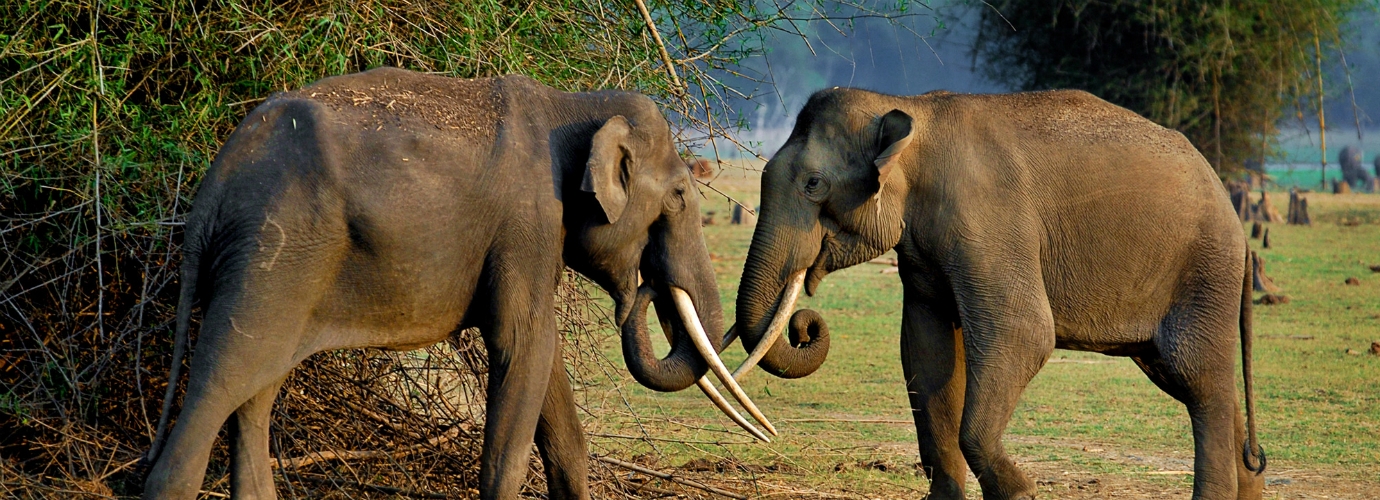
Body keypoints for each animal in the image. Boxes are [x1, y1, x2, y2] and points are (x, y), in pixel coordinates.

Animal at [142, 67, 778, 500]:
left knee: (256, 392)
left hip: (271, 266)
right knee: (226, 378)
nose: (646, 288)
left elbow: (547, 372)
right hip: (274, 255)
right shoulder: (527, 223)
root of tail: (214, 186)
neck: (573, 104)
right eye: (678, 196)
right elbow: (523, 347)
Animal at [728, 89, 1264, 500]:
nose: (804, 325)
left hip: (1203, 270)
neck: (911, 111)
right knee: (1192, 380)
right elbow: (926, 351)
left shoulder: (989, 222)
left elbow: (1022, 334)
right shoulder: (923, 249)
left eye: (813, 184)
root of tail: (1232, 214)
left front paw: (1021, 492)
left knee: (1199, 380)